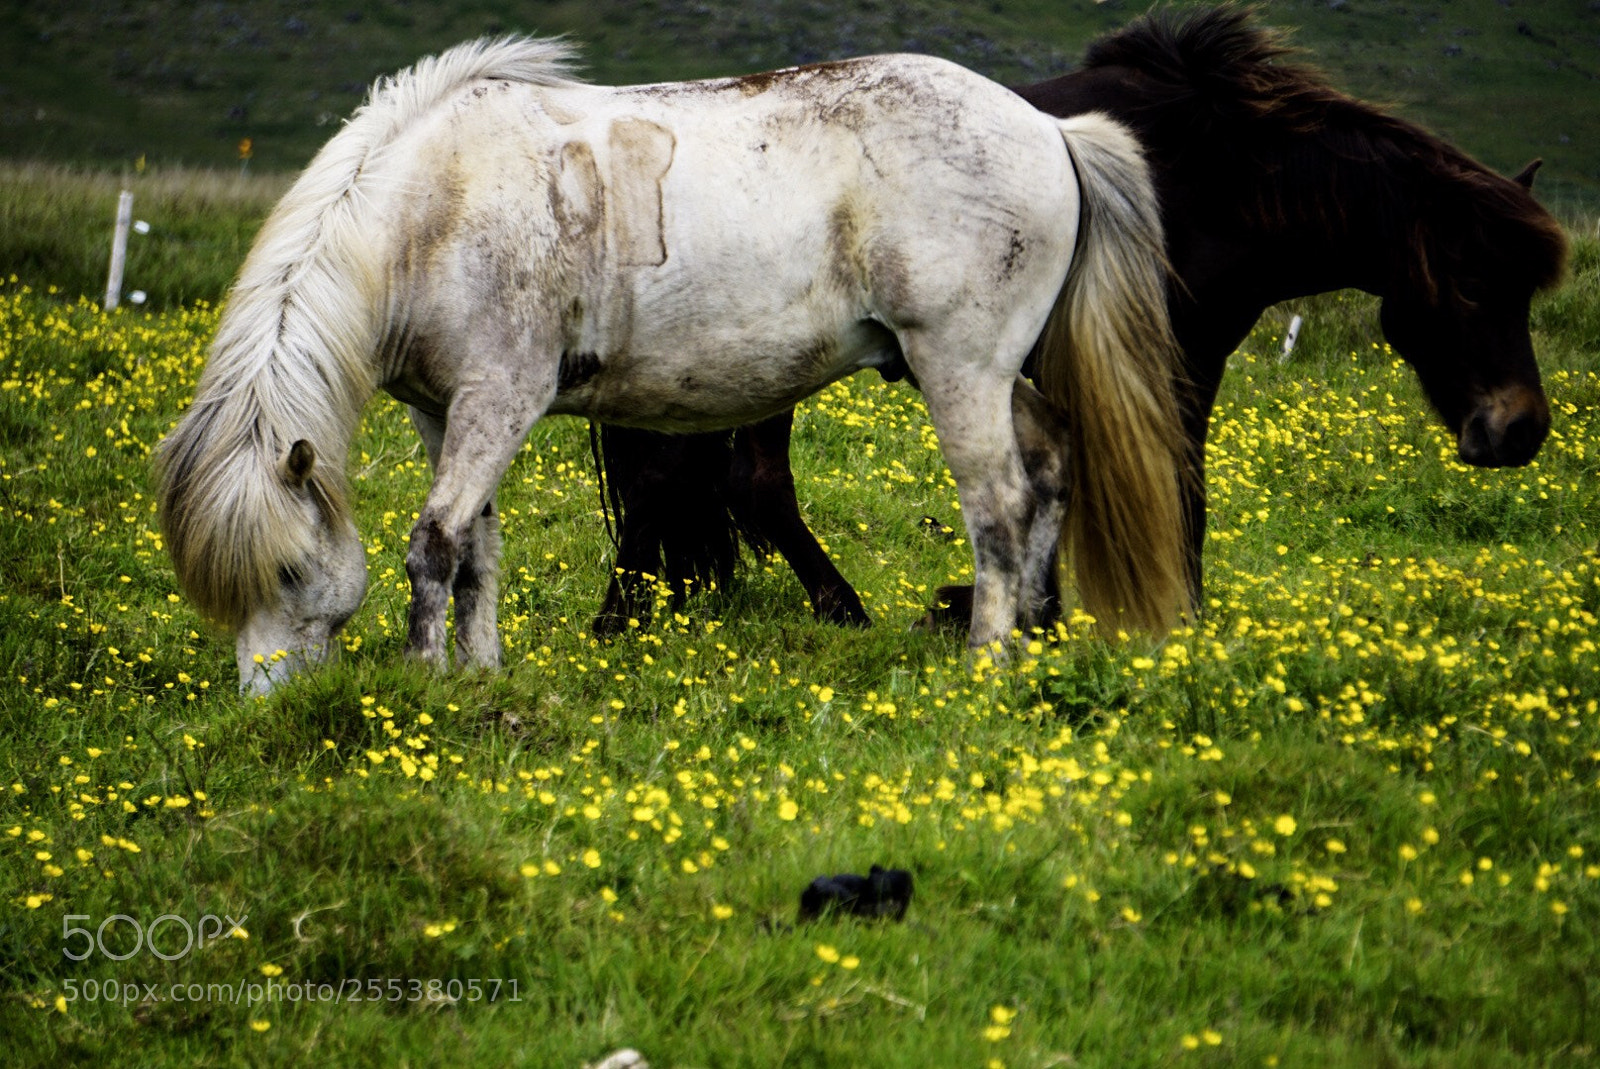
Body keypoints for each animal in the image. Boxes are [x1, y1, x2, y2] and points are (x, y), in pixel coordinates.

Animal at [154, 36, 1194, 695]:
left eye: (291, 571)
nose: (271, 706)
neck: (431, 209)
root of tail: (1050, 130)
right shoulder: (447, 411)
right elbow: (479, 548)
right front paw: (478, 677)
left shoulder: (501, 397)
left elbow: (435, 545)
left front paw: (421, 685)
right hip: (994, 373)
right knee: (1052, 464)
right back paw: (1040, 640)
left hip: (960, 370)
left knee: (1000, 507)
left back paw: (987, 664)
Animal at [589, 4, 1570, 636]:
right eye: (1472, 283)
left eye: (1526, 291)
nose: (1519, 429)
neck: (1210, 176)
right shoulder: (1175, 358)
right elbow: (1177, 485)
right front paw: (1162, 614)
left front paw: (1037, 609)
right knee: (706, 479)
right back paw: (649, 617)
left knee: (730, 481)